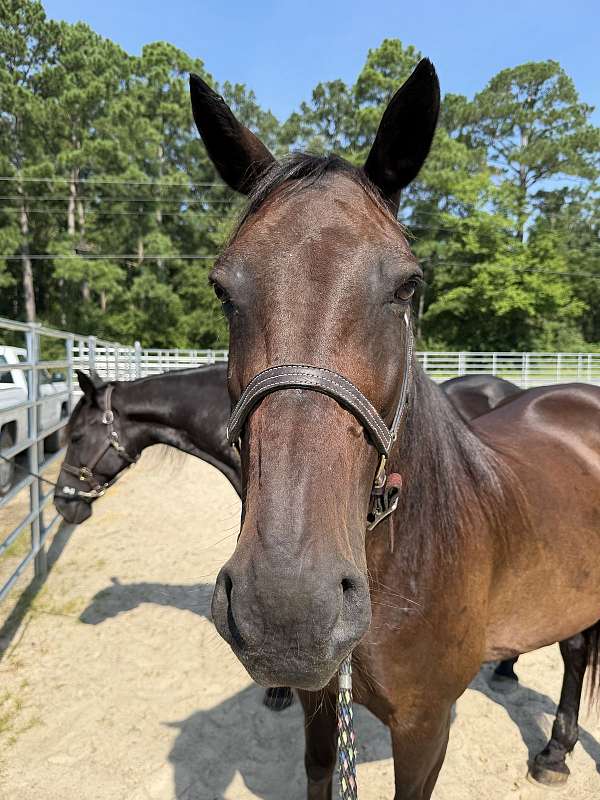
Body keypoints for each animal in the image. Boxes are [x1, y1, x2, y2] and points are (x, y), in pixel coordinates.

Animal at [189, 59, 600, 798]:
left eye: (408, 285)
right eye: (224, 291)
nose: (287, 609)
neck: (407, 559)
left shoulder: (425, 727)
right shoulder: (322, 702)